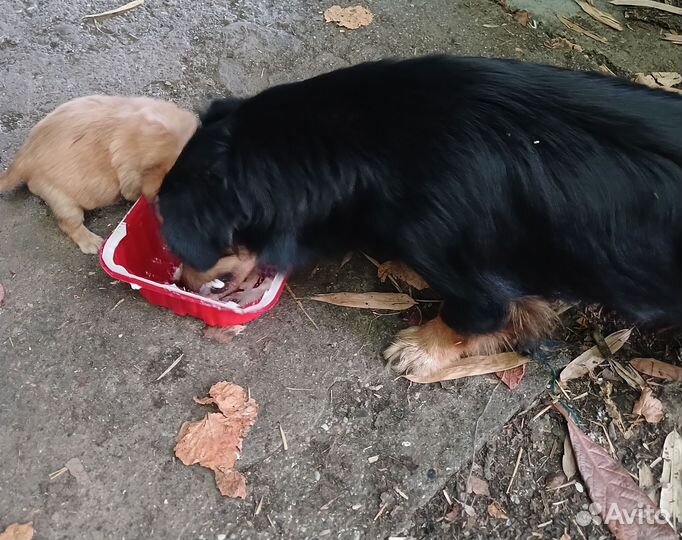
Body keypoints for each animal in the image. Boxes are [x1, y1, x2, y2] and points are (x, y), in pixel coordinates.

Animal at [158, 56, 680, 376]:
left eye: (181, 243)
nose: (179, 281)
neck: (369, 137)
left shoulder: (456, 257)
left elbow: (475, 316)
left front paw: (421, 349)